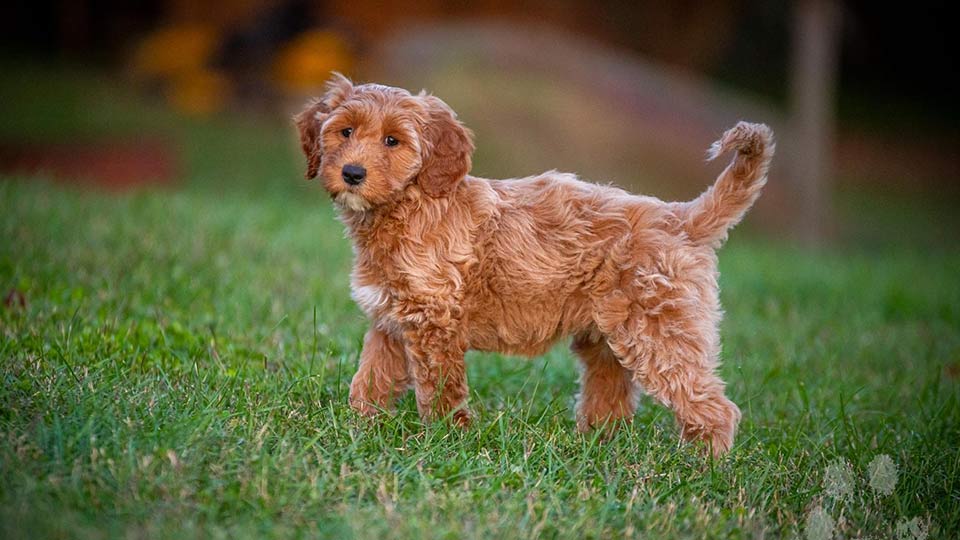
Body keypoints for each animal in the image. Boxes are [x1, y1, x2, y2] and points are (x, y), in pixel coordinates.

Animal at [292, 74, 772, 456]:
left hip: (659, 331)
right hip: (606, 337)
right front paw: (358, 427)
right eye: (344, 132)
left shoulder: (433, 319)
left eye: (393, 141)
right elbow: (369, 379)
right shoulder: (390, 321)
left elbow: (439, 388)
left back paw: (703, 466)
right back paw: (595, 446)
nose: (353, 173)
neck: (412, 202)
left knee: (712, 404)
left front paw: (445, 439)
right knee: (612, 393)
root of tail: (681, 217)